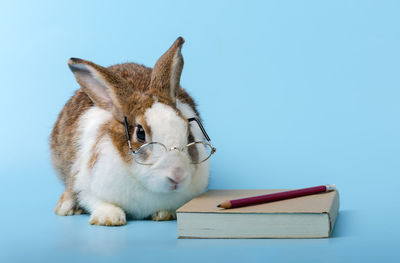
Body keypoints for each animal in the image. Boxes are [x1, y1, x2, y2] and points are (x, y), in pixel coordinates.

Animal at [50, 37, 212, 227]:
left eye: (188, 133)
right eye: (140, 133)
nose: (177, 176)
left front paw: (165, 214)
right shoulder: (84, 184)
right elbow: (95, 200)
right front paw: (109, 218)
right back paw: (65, 208)